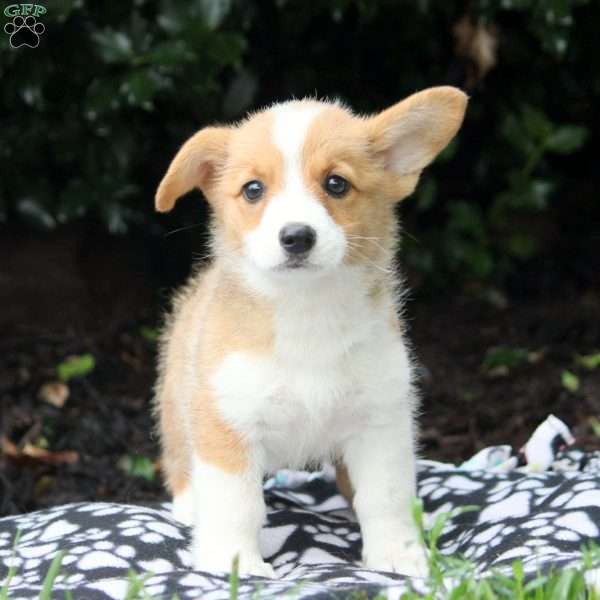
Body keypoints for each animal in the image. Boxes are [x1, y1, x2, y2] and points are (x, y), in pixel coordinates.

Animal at [152, 86, 466, 580]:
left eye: (336, 184)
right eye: (253, 189)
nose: (296, 236)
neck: (307, 310)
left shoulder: (380, 423)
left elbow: (385, 497)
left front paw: (396, 554)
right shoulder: (227, 423)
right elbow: (235, 503)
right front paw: (234, 561)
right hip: (176, 403)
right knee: (180, 457)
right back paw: (189, 506)